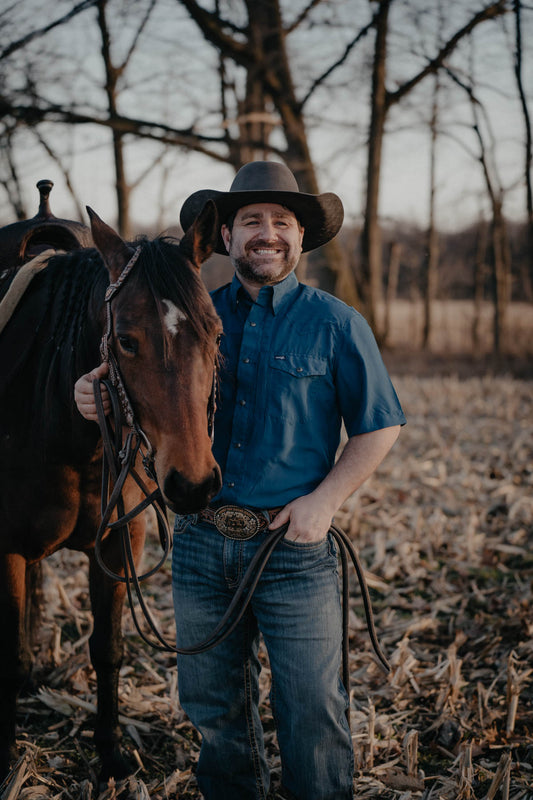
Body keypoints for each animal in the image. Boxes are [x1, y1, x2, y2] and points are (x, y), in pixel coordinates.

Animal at [0, 200, 222, 780]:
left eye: (215, 332)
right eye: (125, 339)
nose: (192, 482)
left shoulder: (120, 544)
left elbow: (108, 648)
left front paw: (111, 754)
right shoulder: (5, 549)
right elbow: (9, 655)